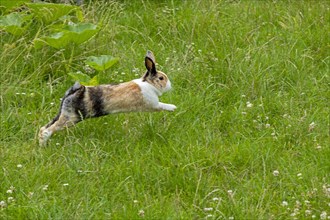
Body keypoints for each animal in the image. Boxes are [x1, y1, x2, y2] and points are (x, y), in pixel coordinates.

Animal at [38, 50, 177, 146]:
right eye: (161, 78)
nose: (170, 86)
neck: (149, 84)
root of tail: (75, 91)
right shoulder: (152, 104)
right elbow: (161, 105)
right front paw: (173, 107)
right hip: (71, 118)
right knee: (47, 130)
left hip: (63, 114)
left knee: (43, 128)